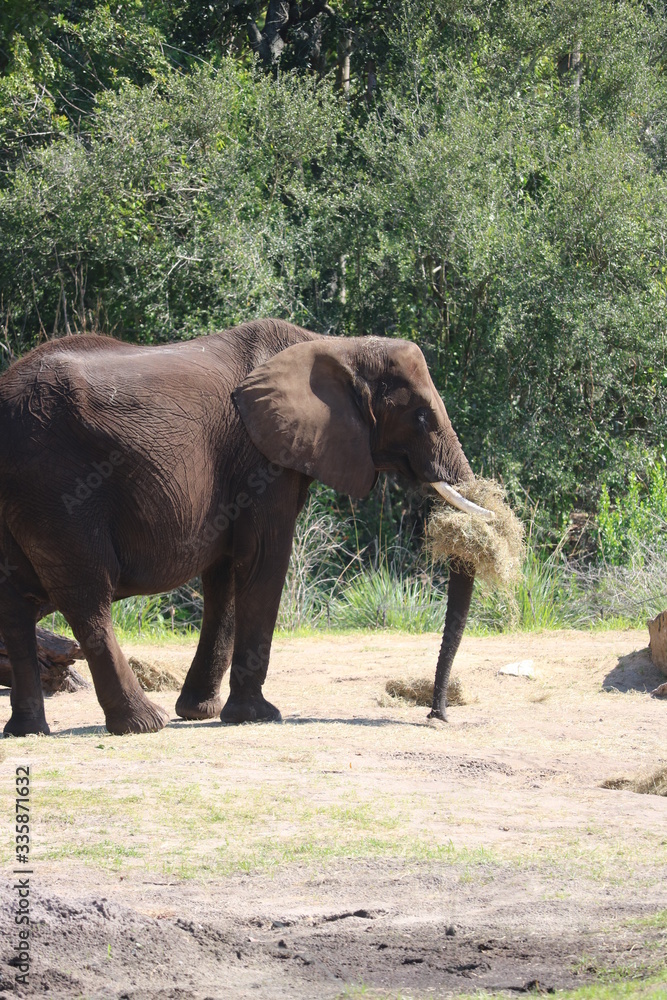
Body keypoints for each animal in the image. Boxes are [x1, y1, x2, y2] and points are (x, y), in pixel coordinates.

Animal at [0, 319, 490, 736]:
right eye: (422, 416)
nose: (436, 715)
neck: (338, 345)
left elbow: (226, 577)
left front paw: (200, 712)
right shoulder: (261, 460)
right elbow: (263, 560)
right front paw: (258, 715)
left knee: (16, 604)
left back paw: (28, 731)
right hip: (58, 489)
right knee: (87, 597)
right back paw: (143, 724)